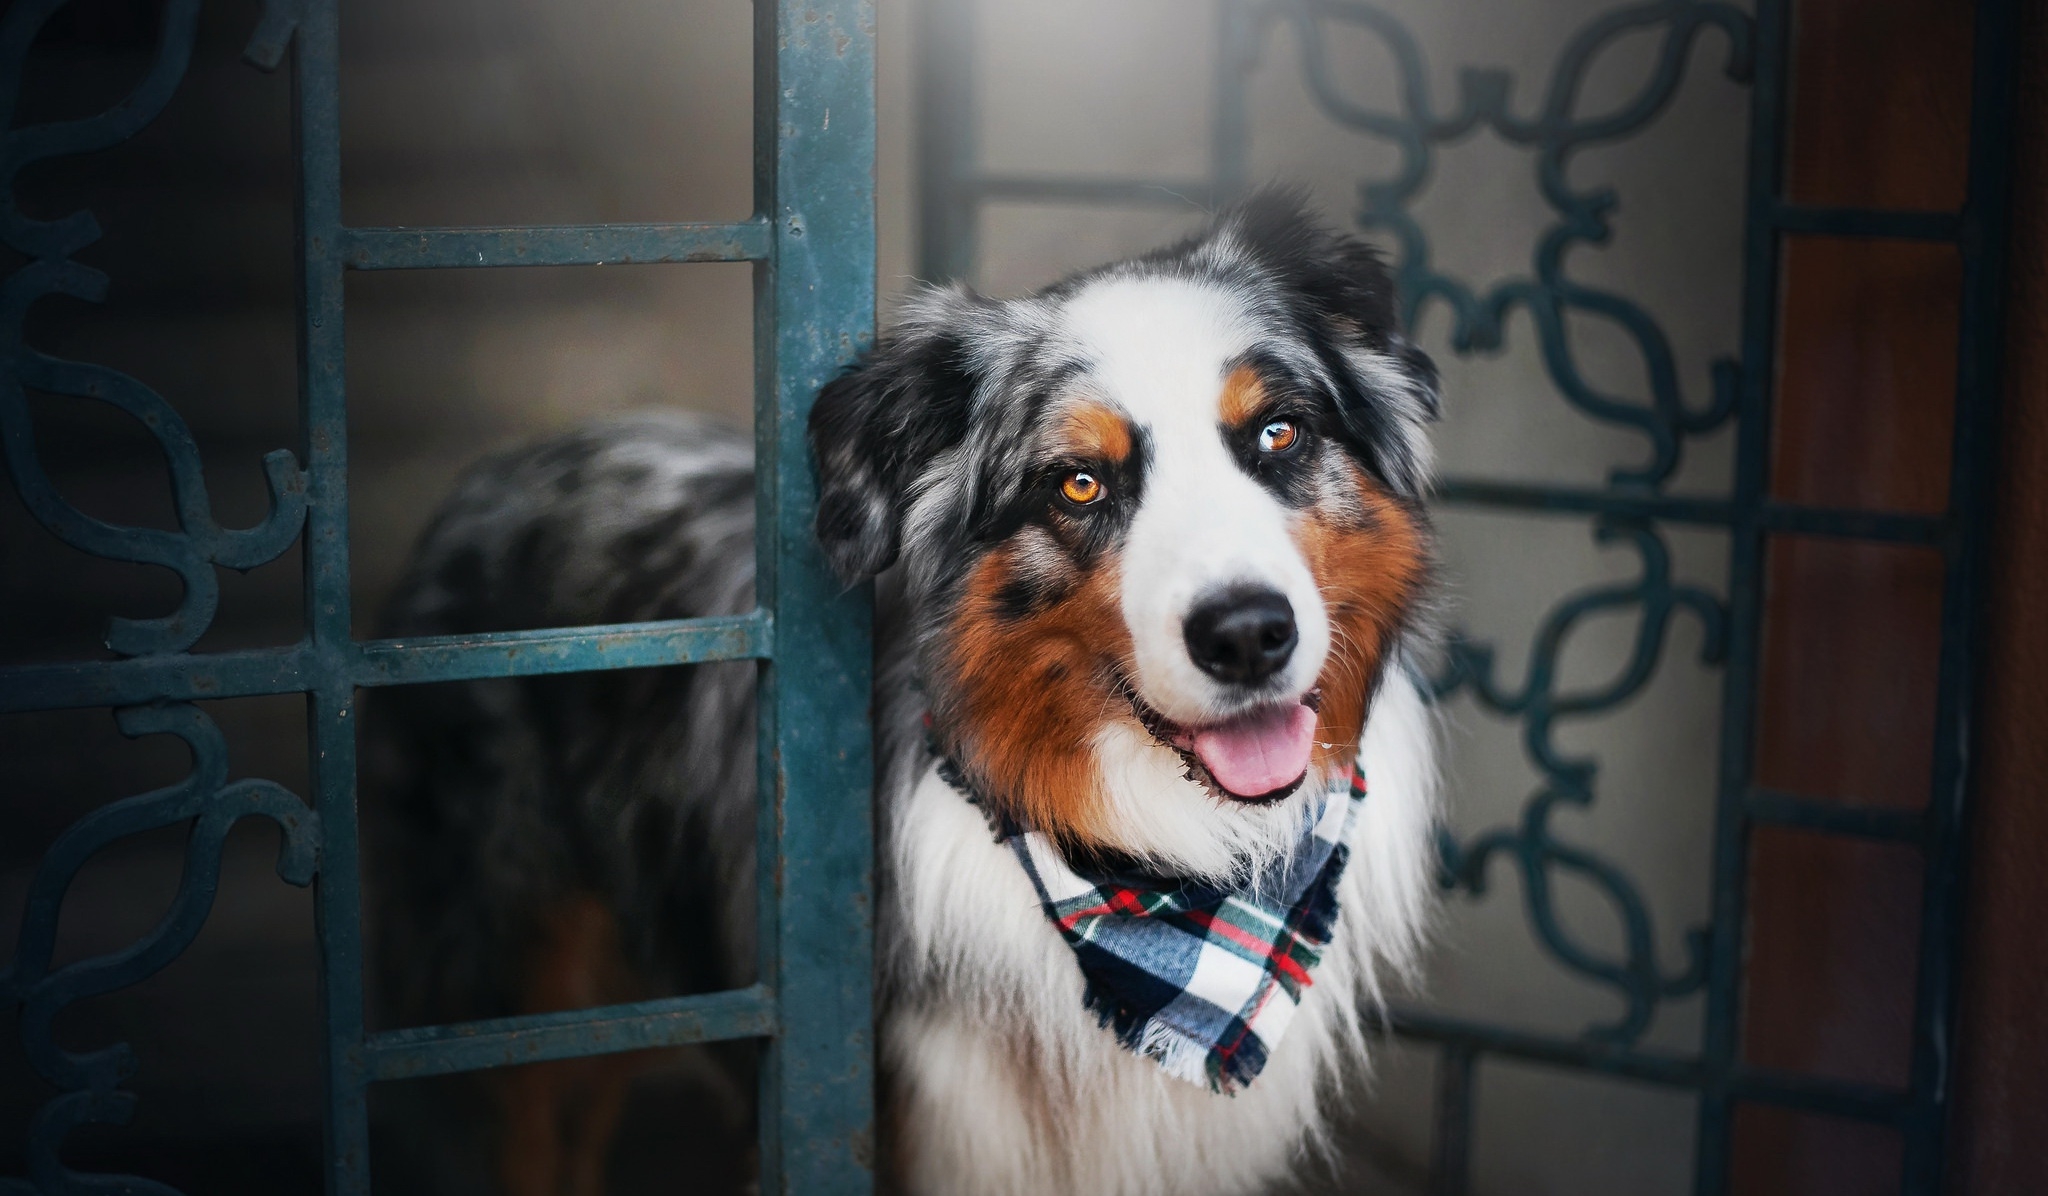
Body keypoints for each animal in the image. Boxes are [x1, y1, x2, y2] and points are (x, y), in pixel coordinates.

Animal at [372, 191, 1458, 1196]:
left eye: (1279, 432)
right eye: (1076, 483)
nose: (1247, 636)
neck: (1173, 868)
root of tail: (511, 462)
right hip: (510, 998)